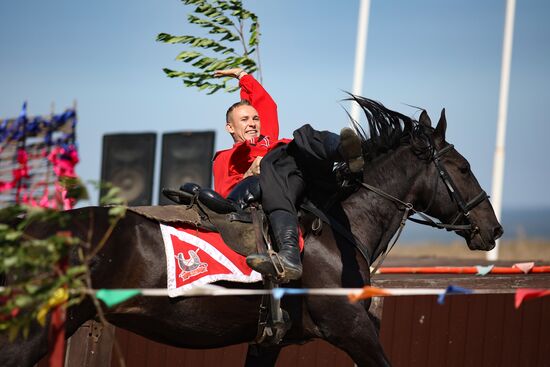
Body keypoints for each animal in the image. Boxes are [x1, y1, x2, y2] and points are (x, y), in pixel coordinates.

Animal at [0, 98, 504, 367]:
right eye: (463, 167)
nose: (493, 227)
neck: (338, 227)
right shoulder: (354, 329)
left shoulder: (268, 343)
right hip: (29, 334)